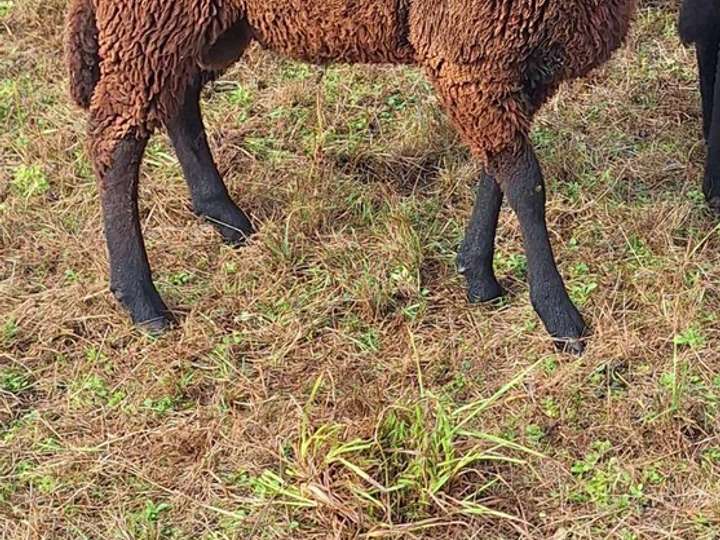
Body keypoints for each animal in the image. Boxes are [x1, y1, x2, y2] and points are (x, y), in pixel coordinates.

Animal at [66, 0, 637, 354]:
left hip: (200, 23)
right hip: (149, 18)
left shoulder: (511, 63)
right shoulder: (470, 50)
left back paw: (223, 215)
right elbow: (527, 184)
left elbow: (496, 172)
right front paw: (560, 318)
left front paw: (476, 273)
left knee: (178, 102)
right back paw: (142, 300)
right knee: (115, 139)